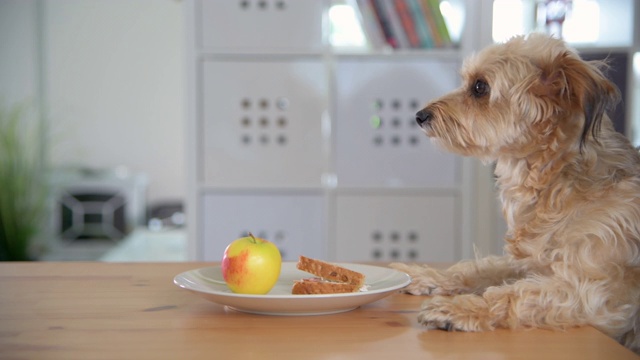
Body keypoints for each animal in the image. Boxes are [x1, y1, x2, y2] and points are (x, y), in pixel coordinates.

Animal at [390, 33, 640, 352]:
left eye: (480, 87)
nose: (419, 116)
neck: (553, 179)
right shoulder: (530, 264)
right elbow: (475, 269)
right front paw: (423, 274)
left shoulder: (593, 292)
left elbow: (513, 294)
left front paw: (461, 308)